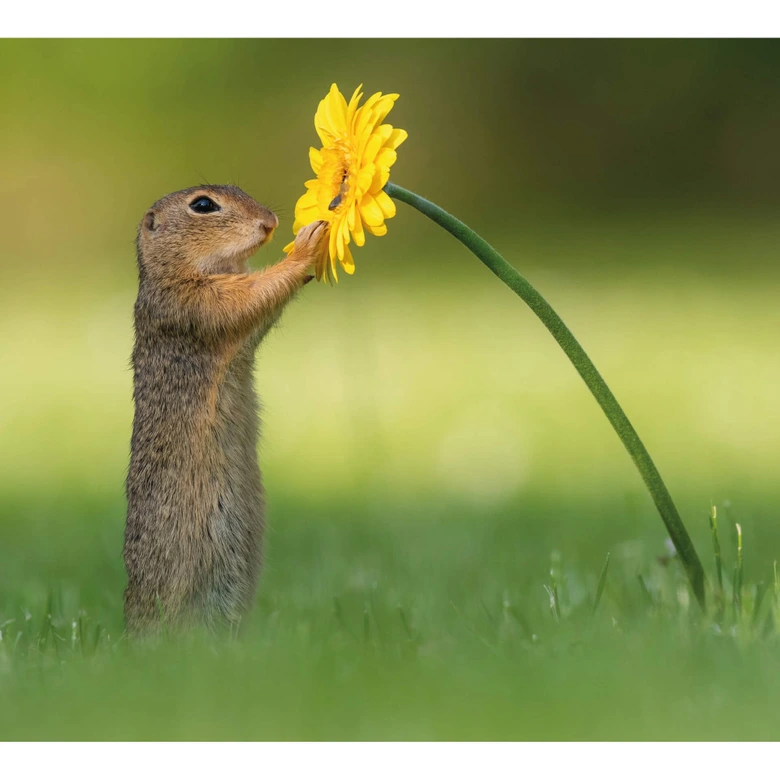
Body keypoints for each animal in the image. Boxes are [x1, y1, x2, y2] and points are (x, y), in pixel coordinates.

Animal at [123, 184, 327, 635]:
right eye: (203, 205)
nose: (270, 222)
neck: (171, 273)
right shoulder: (196, 303)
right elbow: (250, 294)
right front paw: (306, 246)